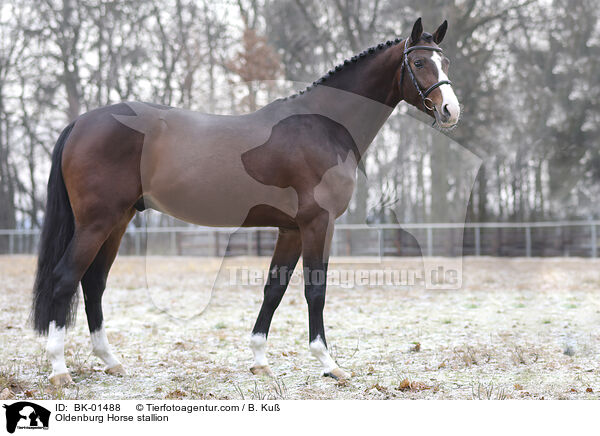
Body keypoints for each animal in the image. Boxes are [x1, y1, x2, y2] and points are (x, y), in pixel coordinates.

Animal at [32, 17, 460, 384]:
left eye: (446, 61)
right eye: (419, 61)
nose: (450, 110)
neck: (322, 125)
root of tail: (81, 123)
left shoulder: (291, 229)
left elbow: (274, 289)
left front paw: (259, 360)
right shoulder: (318, 223)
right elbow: (315, 290)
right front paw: (328, 363)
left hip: (117, 221)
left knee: (94, 283)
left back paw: (111, 361)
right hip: (97, 222)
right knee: (65, 278)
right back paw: (59, 369)